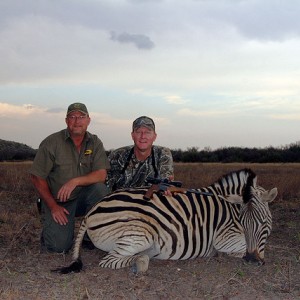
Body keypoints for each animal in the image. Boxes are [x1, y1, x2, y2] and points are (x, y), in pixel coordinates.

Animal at [52, 169, 278, 274]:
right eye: (244, 222)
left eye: (263, 222)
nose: (252, 260)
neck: (229, 209)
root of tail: (92, 210)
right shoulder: (224, 238)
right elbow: (239, 248)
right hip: (141, 234)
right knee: (110, 261)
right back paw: (140, 262)